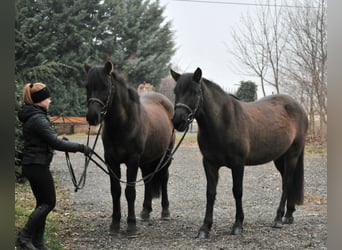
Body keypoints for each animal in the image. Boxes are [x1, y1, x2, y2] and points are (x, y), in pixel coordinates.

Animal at [85, 60, 176, 236]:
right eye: (87, 86)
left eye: (105, 86)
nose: (92, 117)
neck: (123, 124)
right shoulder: (111, 161)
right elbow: (115, 191)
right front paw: (114, 225)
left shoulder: (132, 160)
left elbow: (130, 191)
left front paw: (131, 226)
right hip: (147, 159)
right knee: (148, 180)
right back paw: (146, 211)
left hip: (166, 156)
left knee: (163, 178)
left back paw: (165, 212)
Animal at [170, 67, 308, 237]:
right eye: (175, 91)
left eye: (194, 91)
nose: (178, 121)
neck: (223, 121)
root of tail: (299, 107)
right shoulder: (209, 163)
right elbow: (210, 193)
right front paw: (205, 228)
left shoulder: (238, 164)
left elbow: (237, 191)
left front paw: (237, 225)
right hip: (280, 158)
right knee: (287, 182)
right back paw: (288, 215)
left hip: (292, 155)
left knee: (287, 182)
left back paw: (278, 218)